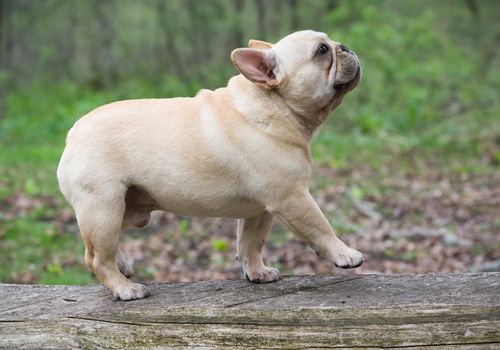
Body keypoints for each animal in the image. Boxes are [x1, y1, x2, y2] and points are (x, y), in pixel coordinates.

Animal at [56, 29, 364, 300]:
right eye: (322, 51)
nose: (344, 46)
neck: (273, 106)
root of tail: (72, 135)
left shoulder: (261, 210)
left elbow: (250, 243)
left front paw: (257, 273)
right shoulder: (292, 198)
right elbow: (320, 227)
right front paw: (345, 254)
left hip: (126, 208)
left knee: (97, 249)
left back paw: (122, 266)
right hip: (103, 208)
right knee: (97, 258)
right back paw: (124, 289)